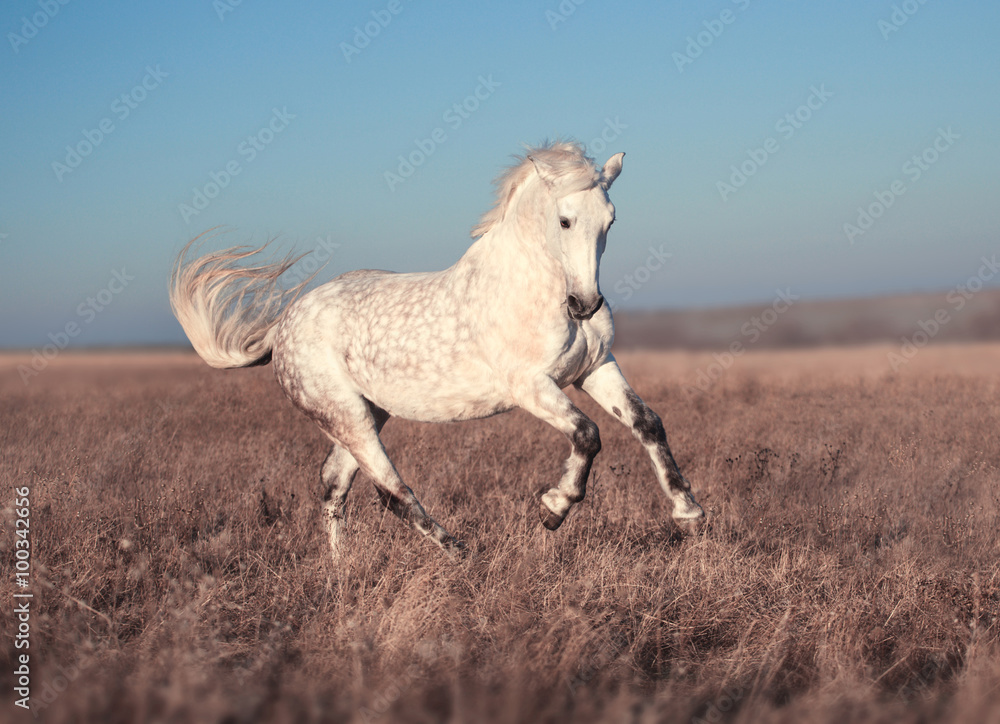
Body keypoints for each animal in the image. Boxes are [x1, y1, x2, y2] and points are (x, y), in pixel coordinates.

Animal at [169, 141, 705, 558]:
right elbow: (588, 434)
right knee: (391, 491)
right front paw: (553, 509)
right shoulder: (531, 386)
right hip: (346, 416)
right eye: (565, 220)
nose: (586, 305)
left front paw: (690, 514)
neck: (529, 287)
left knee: (334, 483)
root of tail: (284, 324)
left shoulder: (594, 369)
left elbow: (647, 423)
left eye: (611, 220)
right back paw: (460, 552)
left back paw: (341, 573)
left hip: (367, 412)